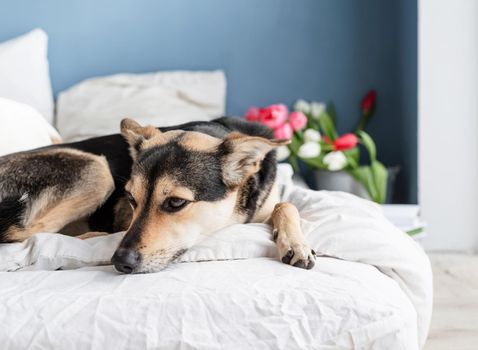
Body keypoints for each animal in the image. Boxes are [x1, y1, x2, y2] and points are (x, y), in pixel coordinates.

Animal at [0, 116, 318, 272]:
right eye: (131, 199)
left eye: (176, 202)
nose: (121, 263)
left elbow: (286, 205)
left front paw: (297, 243)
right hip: (97, 169)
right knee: (20, 233)